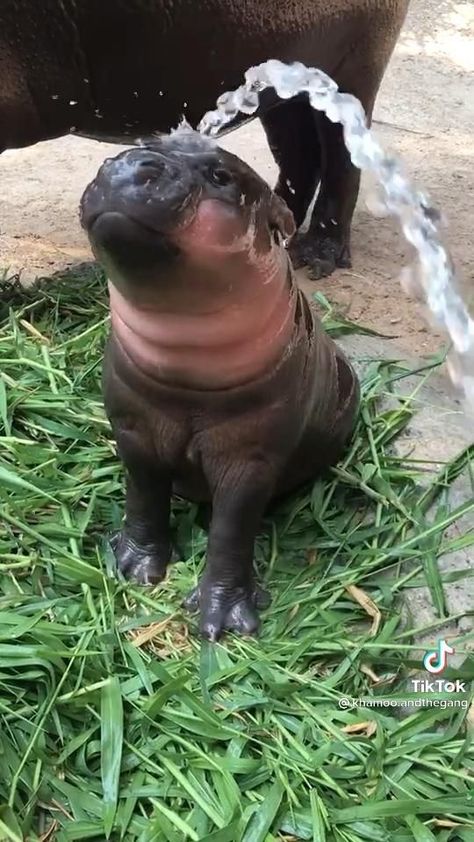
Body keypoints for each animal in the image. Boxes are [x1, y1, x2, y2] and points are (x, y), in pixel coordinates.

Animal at [80, 131, 360, 640]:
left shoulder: (250, 456)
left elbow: (232, 529)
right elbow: (143, 496)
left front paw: (223, 621)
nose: (125, 164)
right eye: (137, 142)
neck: (186, 371)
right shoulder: (133, 426)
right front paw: (130, 567)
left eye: (221, 174)